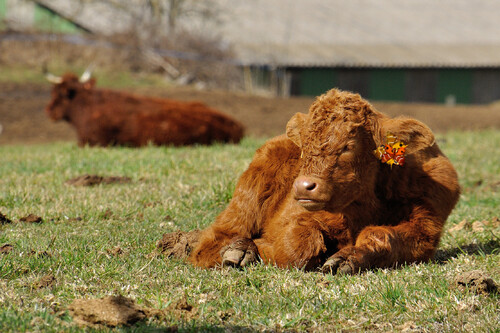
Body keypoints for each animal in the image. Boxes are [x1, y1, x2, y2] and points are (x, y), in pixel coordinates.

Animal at [188, 87, 460, 272]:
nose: (303, 186)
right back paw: (238, 249)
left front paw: (348, 258)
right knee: (214, 240)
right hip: (246, 201)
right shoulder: (295, 218)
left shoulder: (425, 230)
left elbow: (381, 235)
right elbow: (298, 245)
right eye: (306, 146)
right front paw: (257, 248)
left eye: (349, 146)